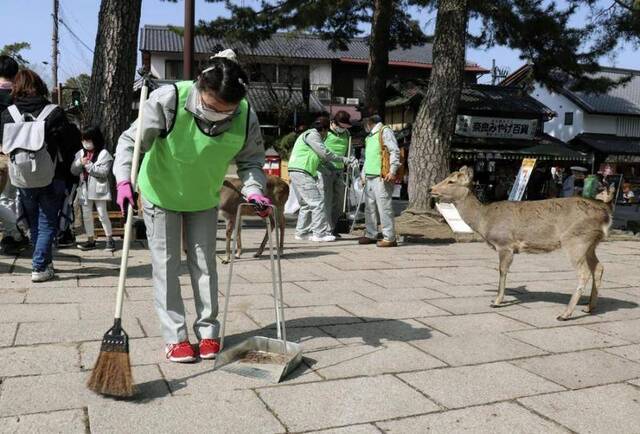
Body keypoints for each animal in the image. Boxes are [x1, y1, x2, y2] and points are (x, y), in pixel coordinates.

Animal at [430, 168, 616, 320]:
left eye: (451, 181)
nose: (431, 189)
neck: (484, 221)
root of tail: (606, 214)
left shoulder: (504, 244)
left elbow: (502, 271)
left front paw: (496, 301)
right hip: (591, 243)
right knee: (599, 267)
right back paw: (589, 308)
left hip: (576, 240)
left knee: (584, 272)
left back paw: (565, 314)